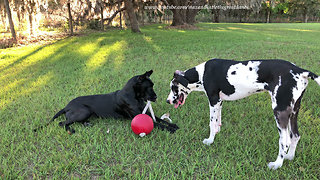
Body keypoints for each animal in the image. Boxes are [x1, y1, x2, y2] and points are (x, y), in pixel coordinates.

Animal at [37, 70, 180, 134]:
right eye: (149, 86)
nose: (156, 97)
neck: (134, 96)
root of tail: (66, 106)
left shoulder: (146, 113)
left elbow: (159, 119)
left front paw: (172, 125)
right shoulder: (136, 115)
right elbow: (157, 124)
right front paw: (170, 129)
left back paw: (86, 124)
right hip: (84, 110)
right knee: (62, 123)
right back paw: (70, 130)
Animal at [166, 59, 318, 170]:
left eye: (173, 87)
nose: (167, 101)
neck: (202, 73)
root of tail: (300, 71)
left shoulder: (213, 101)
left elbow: (211, 122)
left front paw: (210, 140)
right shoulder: (219, 102)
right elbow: (217, 121)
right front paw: (217, 132)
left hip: (280, 112)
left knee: (285, 141)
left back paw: (277, 164)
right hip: (294, 112)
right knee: (295, 136)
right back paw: (289, 157)